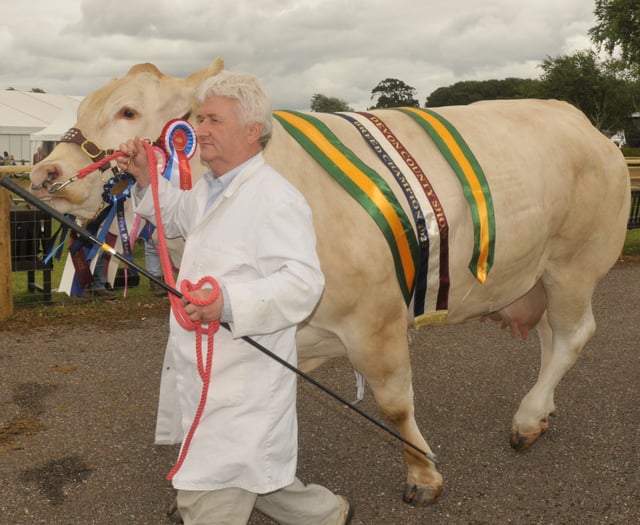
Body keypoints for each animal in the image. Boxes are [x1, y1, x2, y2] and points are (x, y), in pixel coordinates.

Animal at [28, 58, 632, 508]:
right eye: (81, 108)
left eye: (128, 110)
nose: (44, 174)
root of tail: (579, 119)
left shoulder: (377, 321)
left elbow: (394, 404)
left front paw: (423, 476)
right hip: (538, 275)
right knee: (552, 336)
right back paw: (541, 410)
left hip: (574, 263)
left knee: (574, 335)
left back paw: (527, 420)